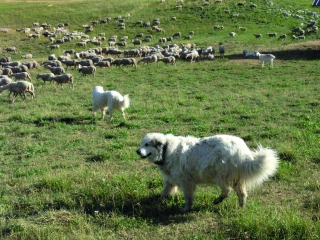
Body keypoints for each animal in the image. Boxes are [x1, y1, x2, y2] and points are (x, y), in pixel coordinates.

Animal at [136, 133, 278, 212]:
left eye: (147, 144)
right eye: (142, 143)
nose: (137, 151)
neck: (166, 149)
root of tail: (242, 152)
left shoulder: (186, 182)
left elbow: (188, 197)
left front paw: (186, 208)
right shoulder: (170, 180)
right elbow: (164, 192)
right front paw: (158, 201)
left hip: (220, 176)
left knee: (227, 190)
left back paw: (218, 200)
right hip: (236, 179)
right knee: (242, 194)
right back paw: (241, 207)